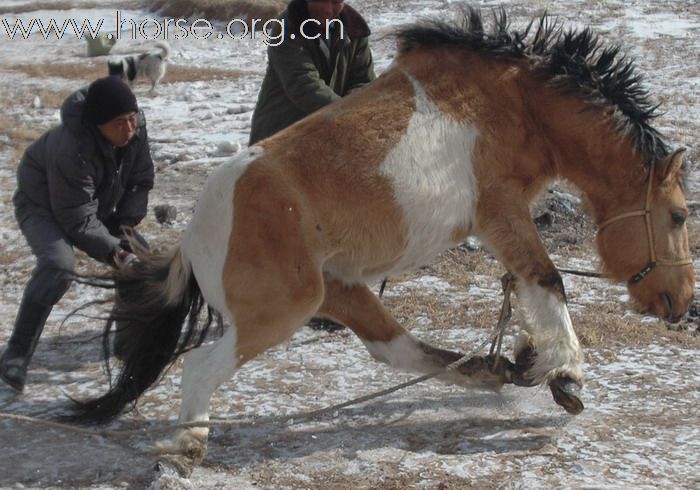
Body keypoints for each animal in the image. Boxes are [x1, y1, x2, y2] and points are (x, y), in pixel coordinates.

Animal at [72, 9, 696, 472]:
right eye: (678, 216)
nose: (682, 304)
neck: (514, 104)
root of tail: (194, 238)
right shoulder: (499, 212)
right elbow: (548, 279)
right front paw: (566, 375)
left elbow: (527, 284)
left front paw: (538, 359)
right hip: (280, 311)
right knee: (202, 367)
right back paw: (185, 448)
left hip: (342, 292)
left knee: (395, 348)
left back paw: (497, 369)